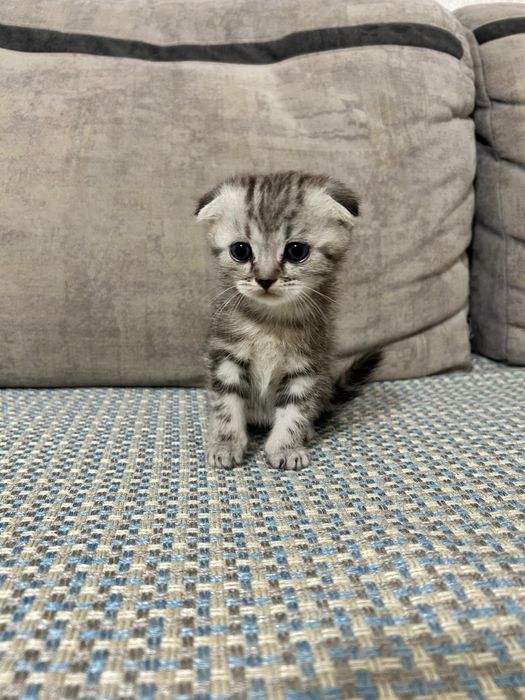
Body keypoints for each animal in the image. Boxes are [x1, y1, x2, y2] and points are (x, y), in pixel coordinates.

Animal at [195, 171, 382, 470]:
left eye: (296, 251)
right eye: (240, 250)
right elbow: (225, 404)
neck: (271, 323)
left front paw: (286, 447)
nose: (265, 279)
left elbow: (295, 410)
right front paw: (225, 444)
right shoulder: (225, 356)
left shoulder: (307, 365)